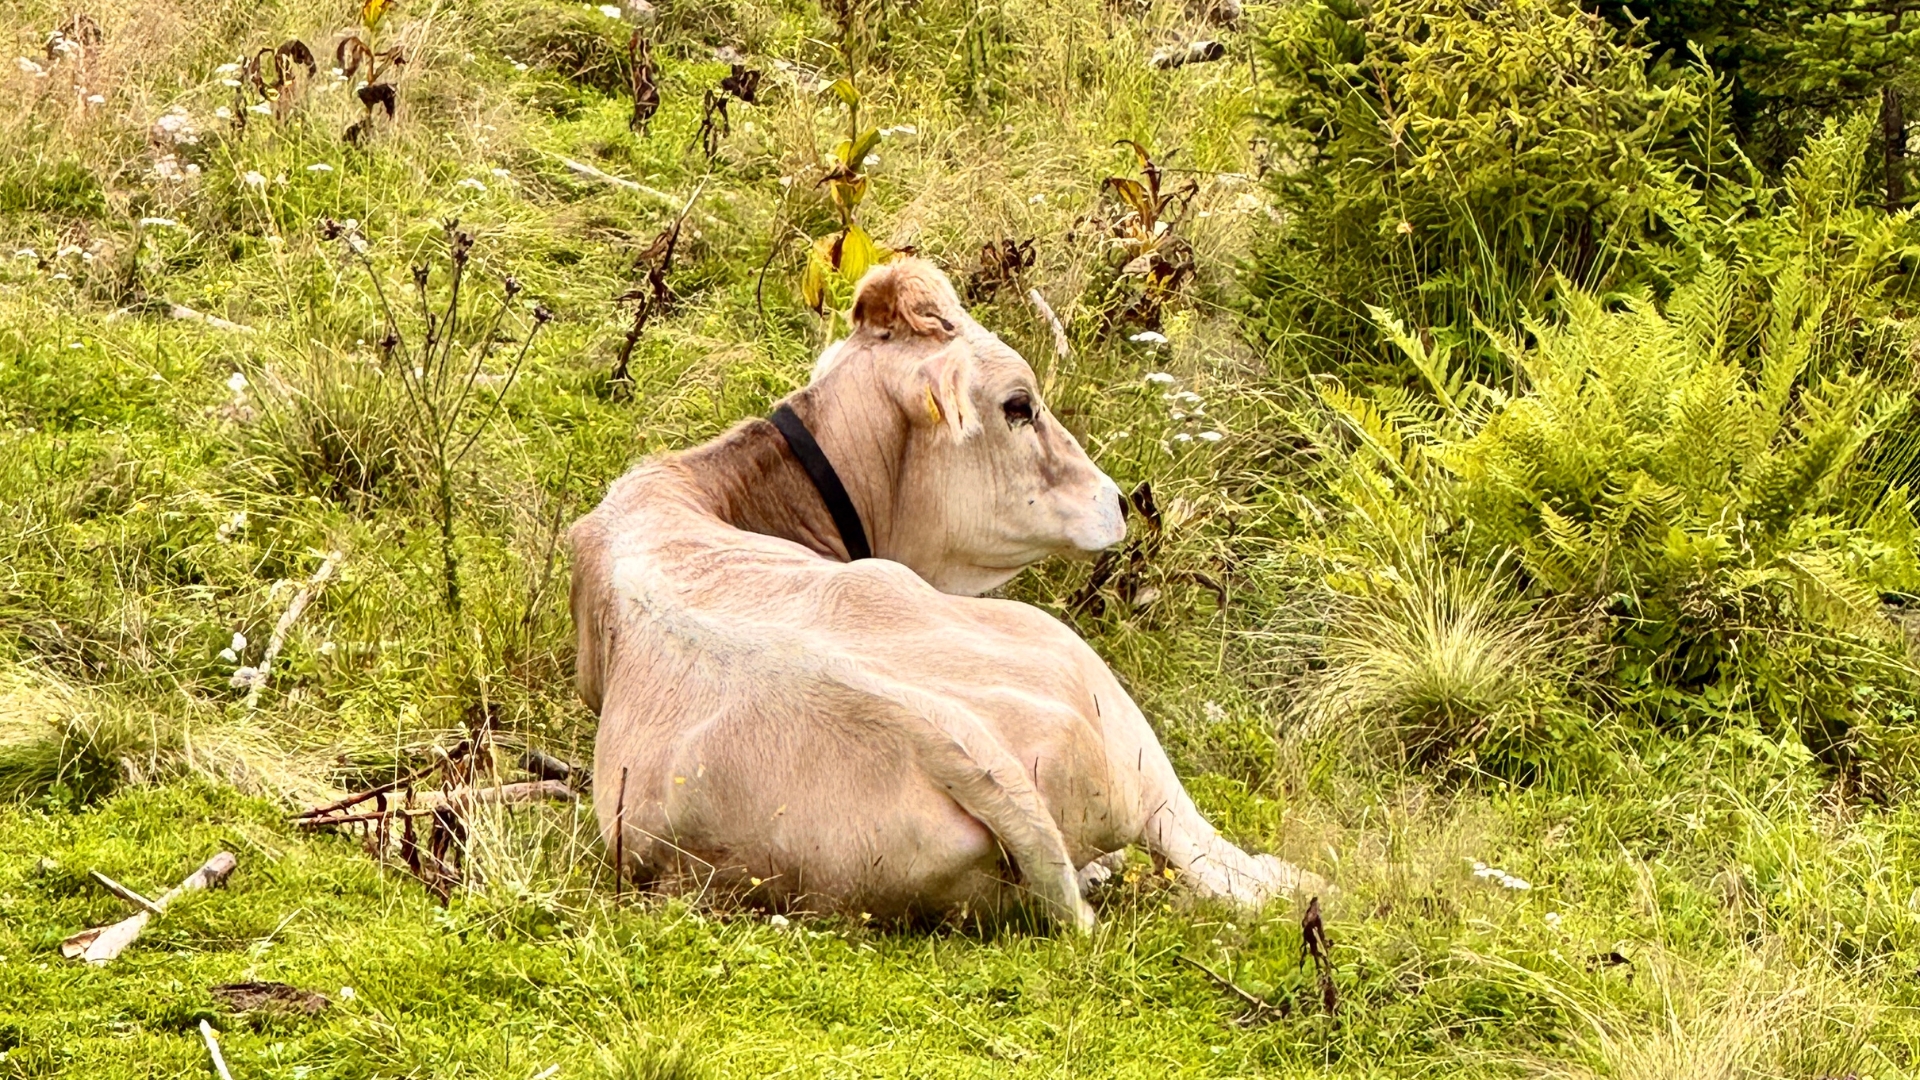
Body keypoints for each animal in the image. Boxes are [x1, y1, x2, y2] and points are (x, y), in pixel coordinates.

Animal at [570, 258, 1315, 930]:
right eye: (1019, 406)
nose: (1115, 500)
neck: (698, 488)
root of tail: (936, 731)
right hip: (1092, 688)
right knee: (1218, 863)